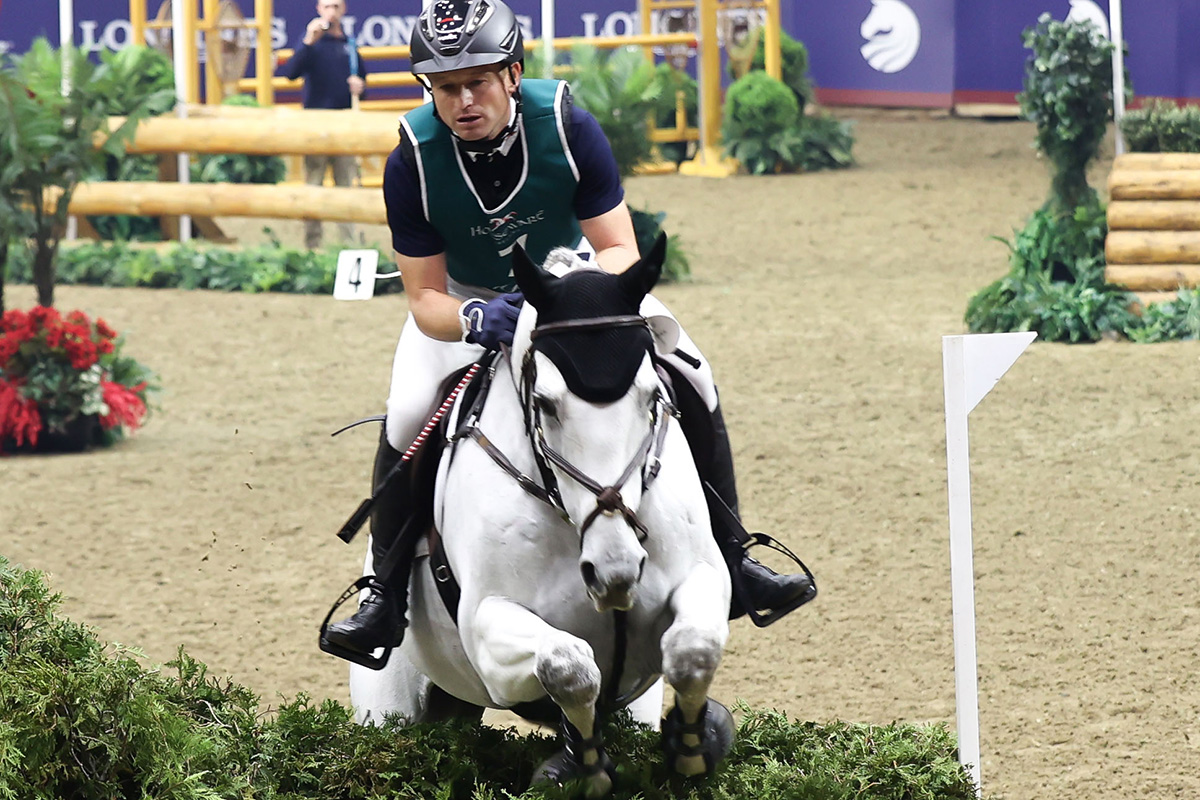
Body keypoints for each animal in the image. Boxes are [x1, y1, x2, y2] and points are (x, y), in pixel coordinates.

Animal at [350, 237, 729, 796]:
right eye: (545, 404)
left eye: (652, 396)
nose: (615, 572)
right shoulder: (487, 630)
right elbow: (569, 666)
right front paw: (585, 767)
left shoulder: (703, 578)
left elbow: (693, 649)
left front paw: (692, 745)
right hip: (389, 704)